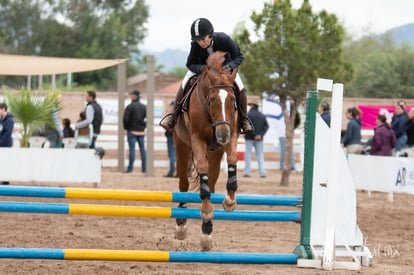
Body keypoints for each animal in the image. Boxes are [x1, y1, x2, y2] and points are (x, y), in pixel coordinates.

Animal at [174, 50, 239, 251]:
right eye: (212, 100)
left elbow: (233, 158)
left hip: (215, 153)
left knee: (210, 182)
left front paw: (230, 201)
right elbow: (201, 166)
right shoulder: (197, 139)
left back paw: (207, 233)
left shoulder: (232, 133)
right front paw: (205, 210)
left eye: (233, 100)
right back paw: (182, 225)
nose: (222, 135)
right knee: (184, 185)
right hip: (182, 146)